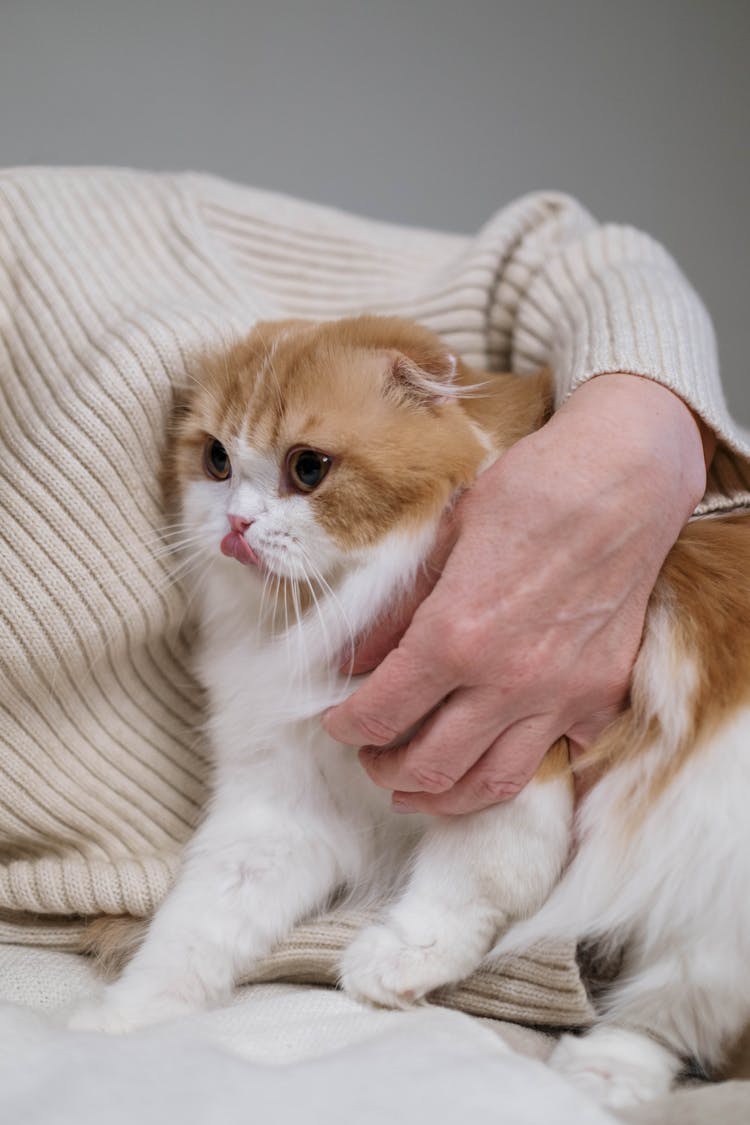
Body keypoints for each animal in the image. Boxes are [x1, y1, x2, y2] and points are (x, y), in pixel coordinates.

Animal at [70, 315, 750, 1107]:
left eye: (308, 468)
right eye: (216, 460)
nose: (235, 523)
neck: (318, 617)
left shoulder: (507, 764)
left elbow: (469, 886)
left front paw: (393, 962)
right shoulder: (281, 811)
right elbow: (193, 928)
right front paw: (117, 1026)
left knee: (665, 1014)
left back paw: (599, 1076)